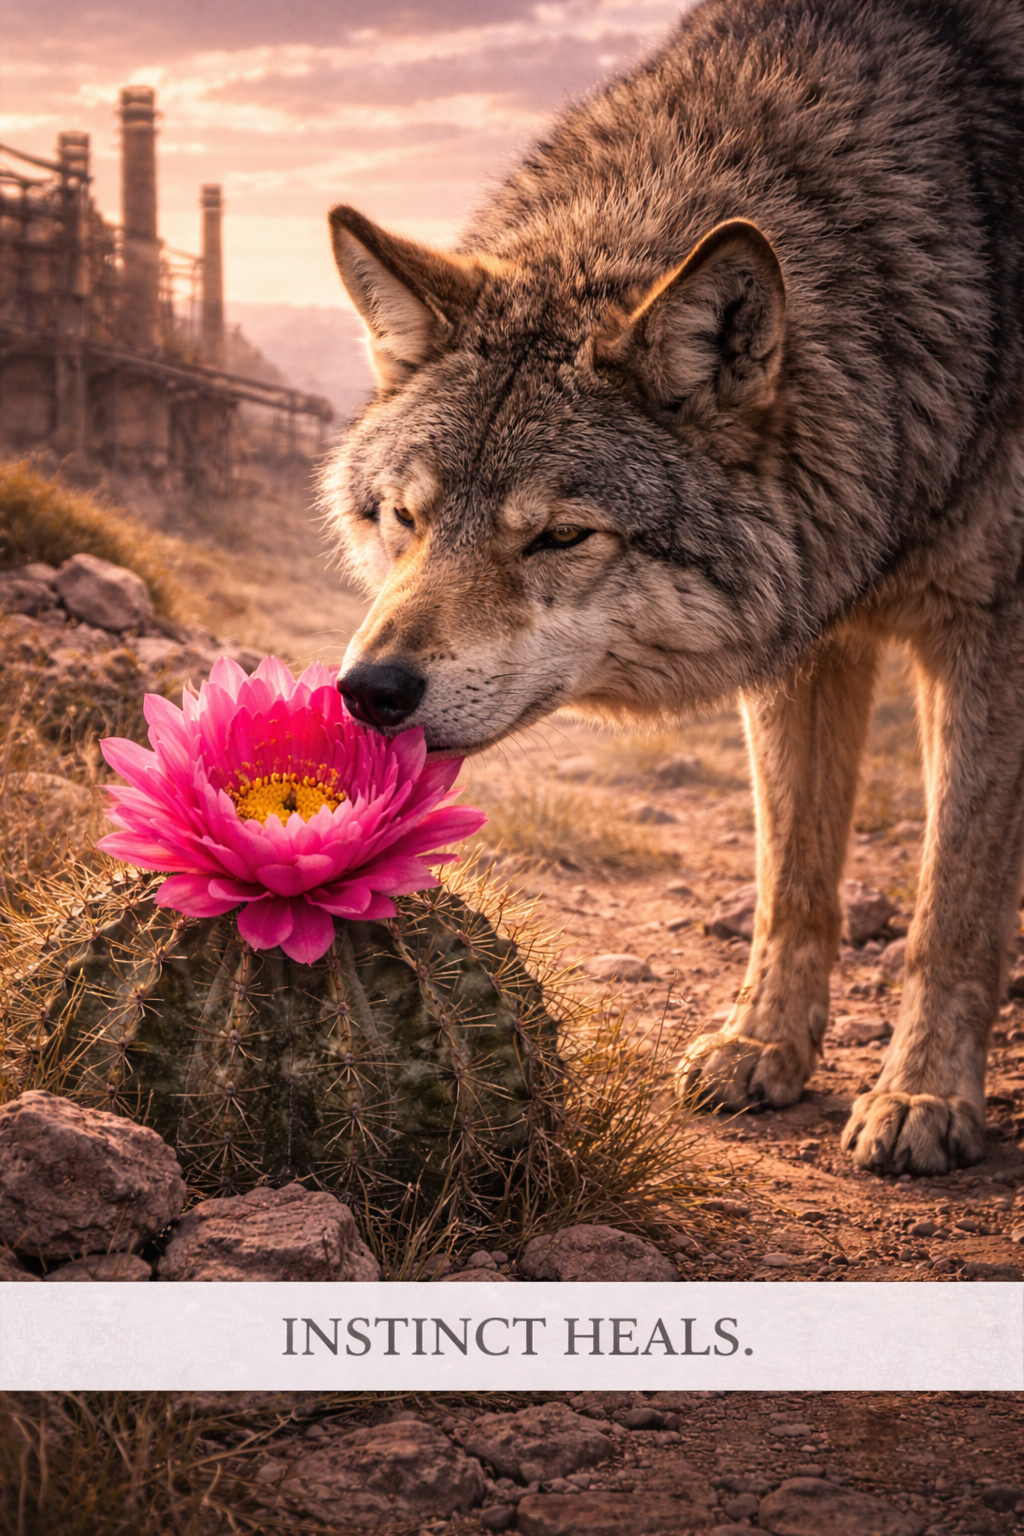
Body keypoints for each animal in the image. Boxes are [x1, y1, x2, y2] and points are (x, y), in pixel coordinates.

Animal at [322, 0, 1024, 1177]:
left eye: (560, 536)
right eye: (404, 518)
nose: (369, 692)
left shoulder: (989, 630)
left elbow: (952, 904)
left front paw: (923, 1095)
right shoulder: (811, 639)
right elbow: (793, 877)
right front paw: (763, 1047)